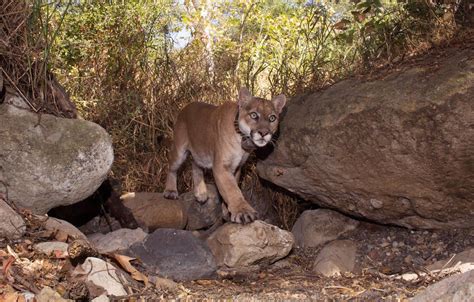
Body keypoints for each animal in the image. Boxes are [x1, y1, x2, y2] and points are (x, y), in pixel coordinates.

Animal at [165, 87, 286, 224]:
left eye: (272, 118)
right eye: (254, 115)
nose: (264, 133)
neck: (242, 138)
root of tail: (187, 106)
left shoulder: (237, 167)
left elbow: (232, 186)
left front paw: (227, 211)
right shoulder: (221, 167)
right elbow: (231, 189)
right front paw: (243, 211)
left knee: (195, 164)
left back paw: (201, 193)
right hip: (179, 151)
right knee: (172, 167)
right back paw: (170, 191)